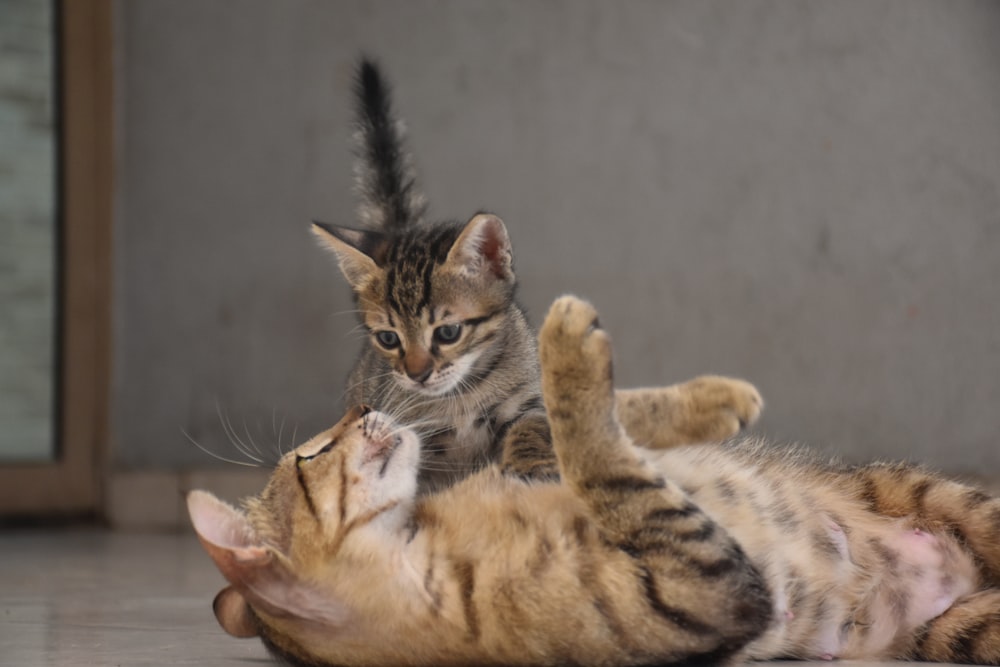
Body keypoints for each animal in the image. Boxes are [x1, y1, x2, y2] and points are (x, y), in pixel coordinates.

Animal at [189, 298, 1000, 667]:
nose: (360, 407)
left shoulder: (519, 461)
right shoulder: (703, 583)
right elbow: (603, 461)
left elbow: (571, 430)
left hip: (936, 502)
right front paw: (565, 341)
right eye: (311, 455)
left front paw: (709, 400)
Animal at [312, 60, 756, 490]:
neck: (463, 396)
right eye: (389, 339)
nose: (417, 375)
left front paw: (528, 463)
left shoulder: (531, 398)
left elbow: (533, 424)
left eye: (448, 333)